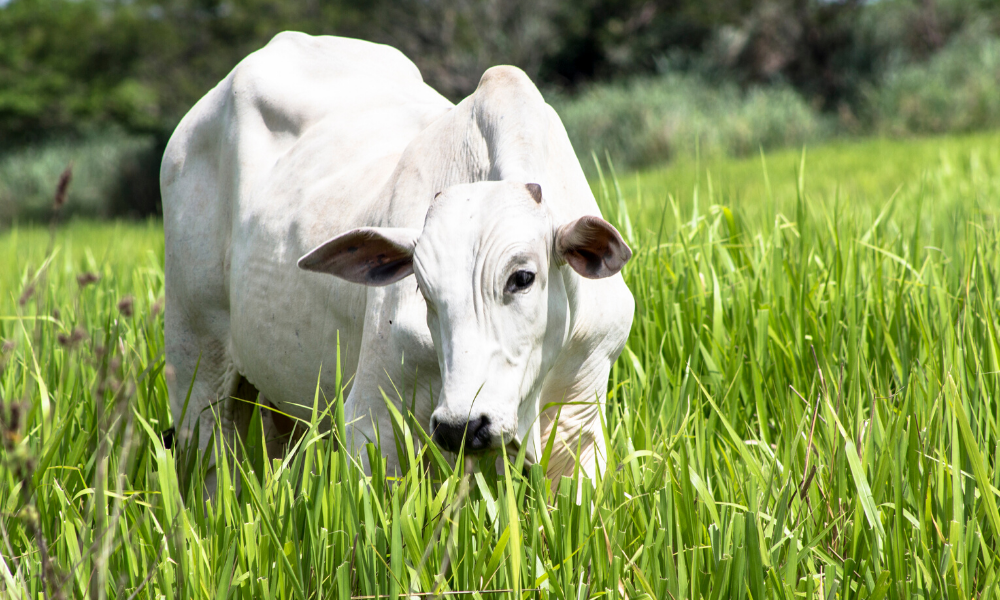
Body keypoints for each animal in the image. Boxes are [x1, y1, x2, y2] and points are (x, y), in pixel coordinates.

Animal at [162, 31, 632, 482]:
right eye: (423, 289)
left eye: (522, 277)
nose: (462, 426)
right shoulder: (373, 422)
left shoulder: (580, 426)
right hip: (196, 372)